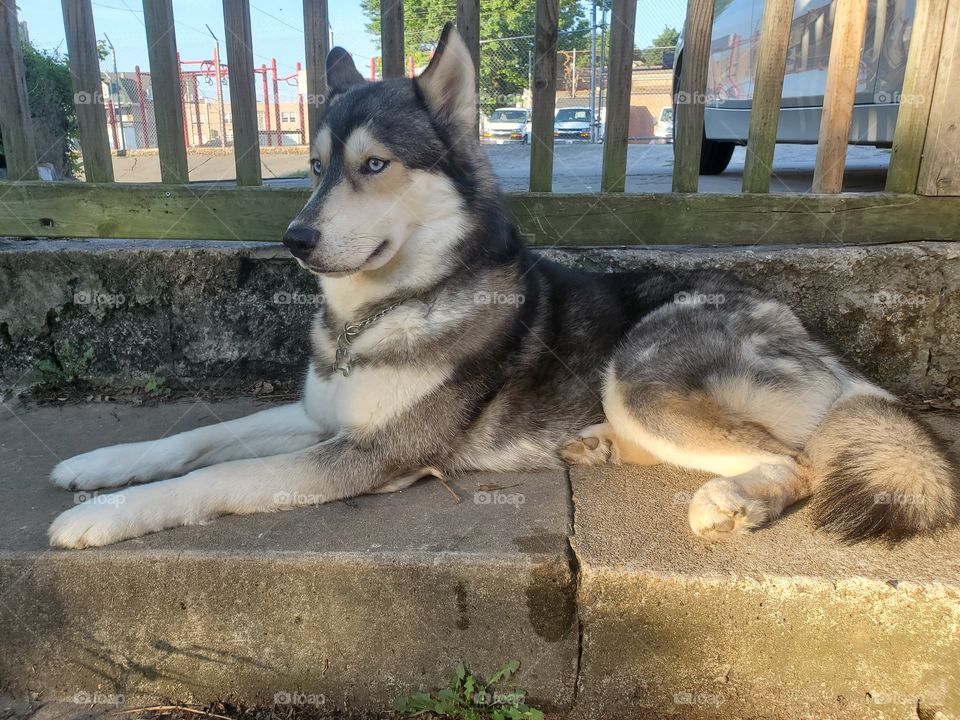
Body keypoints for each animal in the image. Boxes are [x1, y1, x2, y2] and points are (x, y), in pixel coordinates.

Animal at [47, 25, 960, 548]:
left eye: (373, 165)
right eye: (311, 167)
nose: (295, 240)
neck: (375, 315)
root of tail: (805, 329)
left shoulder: (371, 453)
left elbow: (213, 480)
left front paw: (101, 517)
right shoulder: (319, 416)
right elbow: (199, 440)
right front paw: (98, 466)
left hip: (638, 373)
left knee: (794, 461)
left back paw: (732, 502)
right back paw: (596, 446)